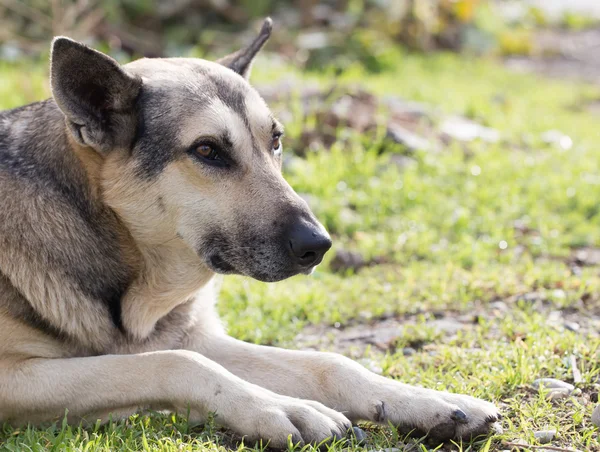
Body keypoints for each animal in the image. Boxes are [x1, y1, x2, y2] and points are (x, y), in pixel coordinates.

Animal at [0, 18, 502, 448]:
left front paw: (426, 400)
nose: (319, 246)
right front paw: (280, 408)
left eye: (275, 140)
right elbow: (175, 363)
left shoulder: (195, 336)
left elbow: (330, 362)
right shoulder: (17, 376)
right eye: (207, 150)